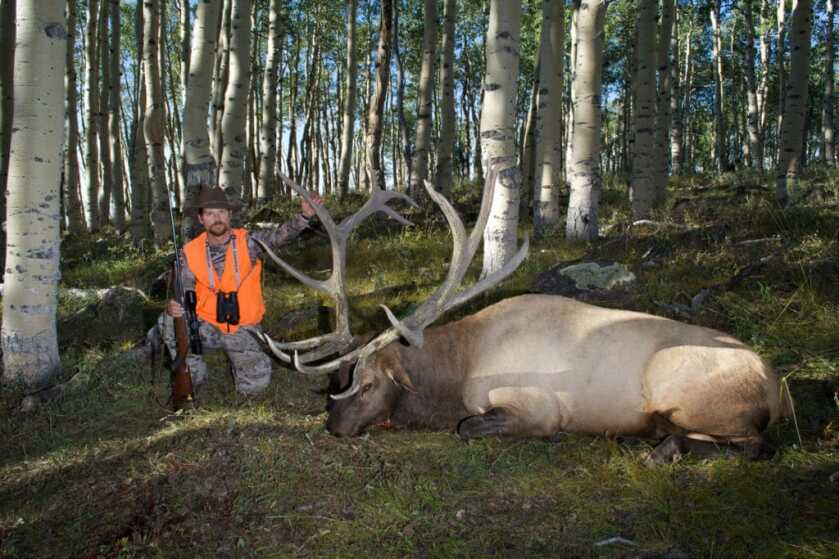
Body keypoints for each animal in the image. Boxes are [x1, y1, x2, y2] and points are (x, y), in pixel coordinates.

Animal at [255, 169, 787, 464]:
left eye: (366, 384)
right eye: (335, 382)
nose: (334, 427)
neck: (455, 372)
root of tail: (777, 389)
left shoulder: (535, 406)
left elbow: (469, 428)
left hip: (686, 391)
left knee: (758, 445)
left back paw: (661, 449)